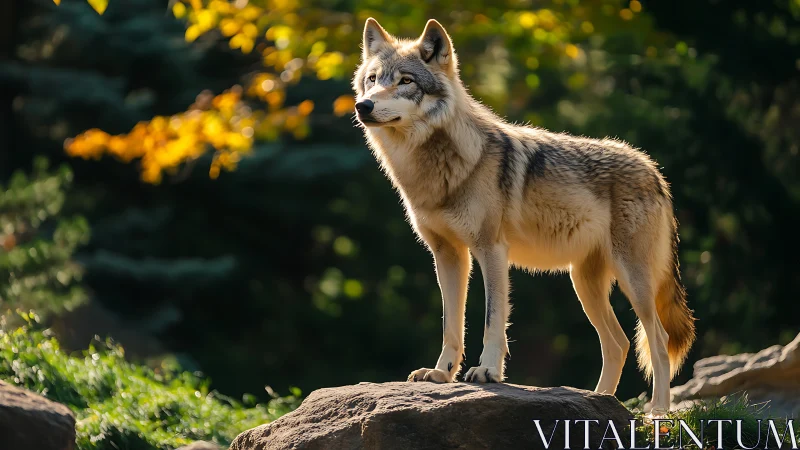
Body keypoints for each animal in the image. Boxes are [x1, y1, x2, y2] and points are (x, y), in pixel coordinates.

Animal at [352, 18, 696, 413]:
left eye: (406, 81)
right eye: (373, 79)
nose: (362, 105)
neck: (436, 170)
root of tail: (654, 170)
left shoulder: (491, 250)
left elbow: (492, 320)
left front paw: (487, 372)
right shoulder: (448, 255)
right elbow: (450, 323)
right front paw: (441, 374)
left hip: (632, 282)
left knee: (658, 340)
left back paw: (657, 411)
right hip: (584, 284)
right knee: (619, 343)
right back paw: (599, 402)